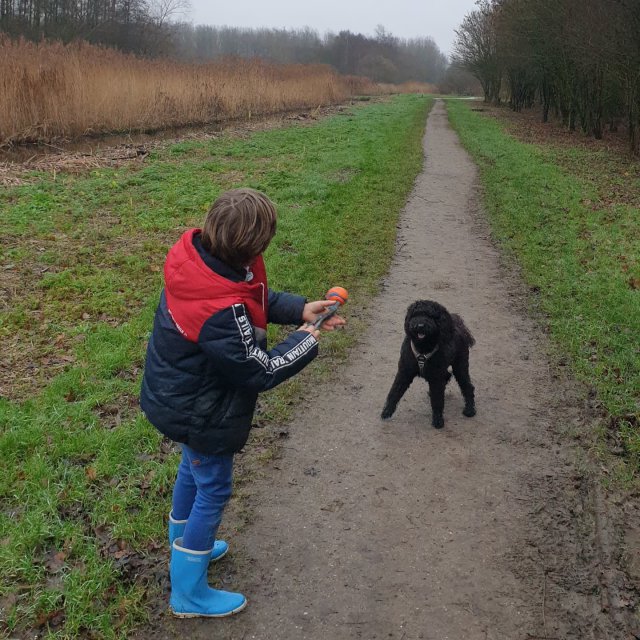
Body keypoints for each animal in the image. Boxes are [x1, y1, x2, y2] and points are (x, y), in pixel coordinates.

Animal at [380, 300, 476, 430]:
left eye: (430, 316)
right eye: (415, 314)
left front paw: (438, 420)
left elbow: (437, 400)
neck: (422, 349)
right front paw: (387, 412)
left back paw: (470, 410)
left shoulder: (436, 378)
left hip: (460, 366)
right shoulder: (404, 372)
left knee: (467, 386)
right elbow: (394, 392)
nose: (420, 325)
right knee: (447, 376)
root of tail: (459, 325)